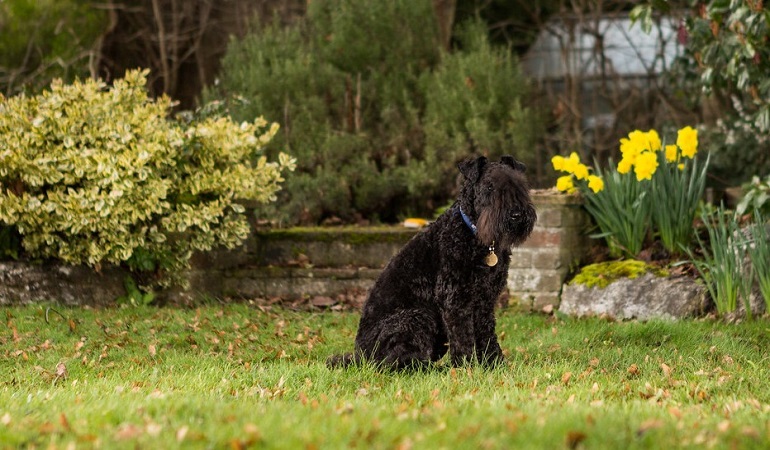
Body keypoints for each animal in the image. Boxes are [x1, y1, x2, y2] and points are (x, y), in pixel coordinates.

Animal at [328, 156, 536, 370]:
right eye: (489, 186)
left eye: (520, 185)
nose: (516, 215)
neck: (475, 238)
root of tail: (359, 356)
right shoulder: (455, 300)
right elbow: (463, 338)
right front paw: (467, 368)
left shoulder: (485, 301)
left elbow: (486, 334)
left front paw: (494, 365)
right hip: (415, 319)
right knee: (393, 362)